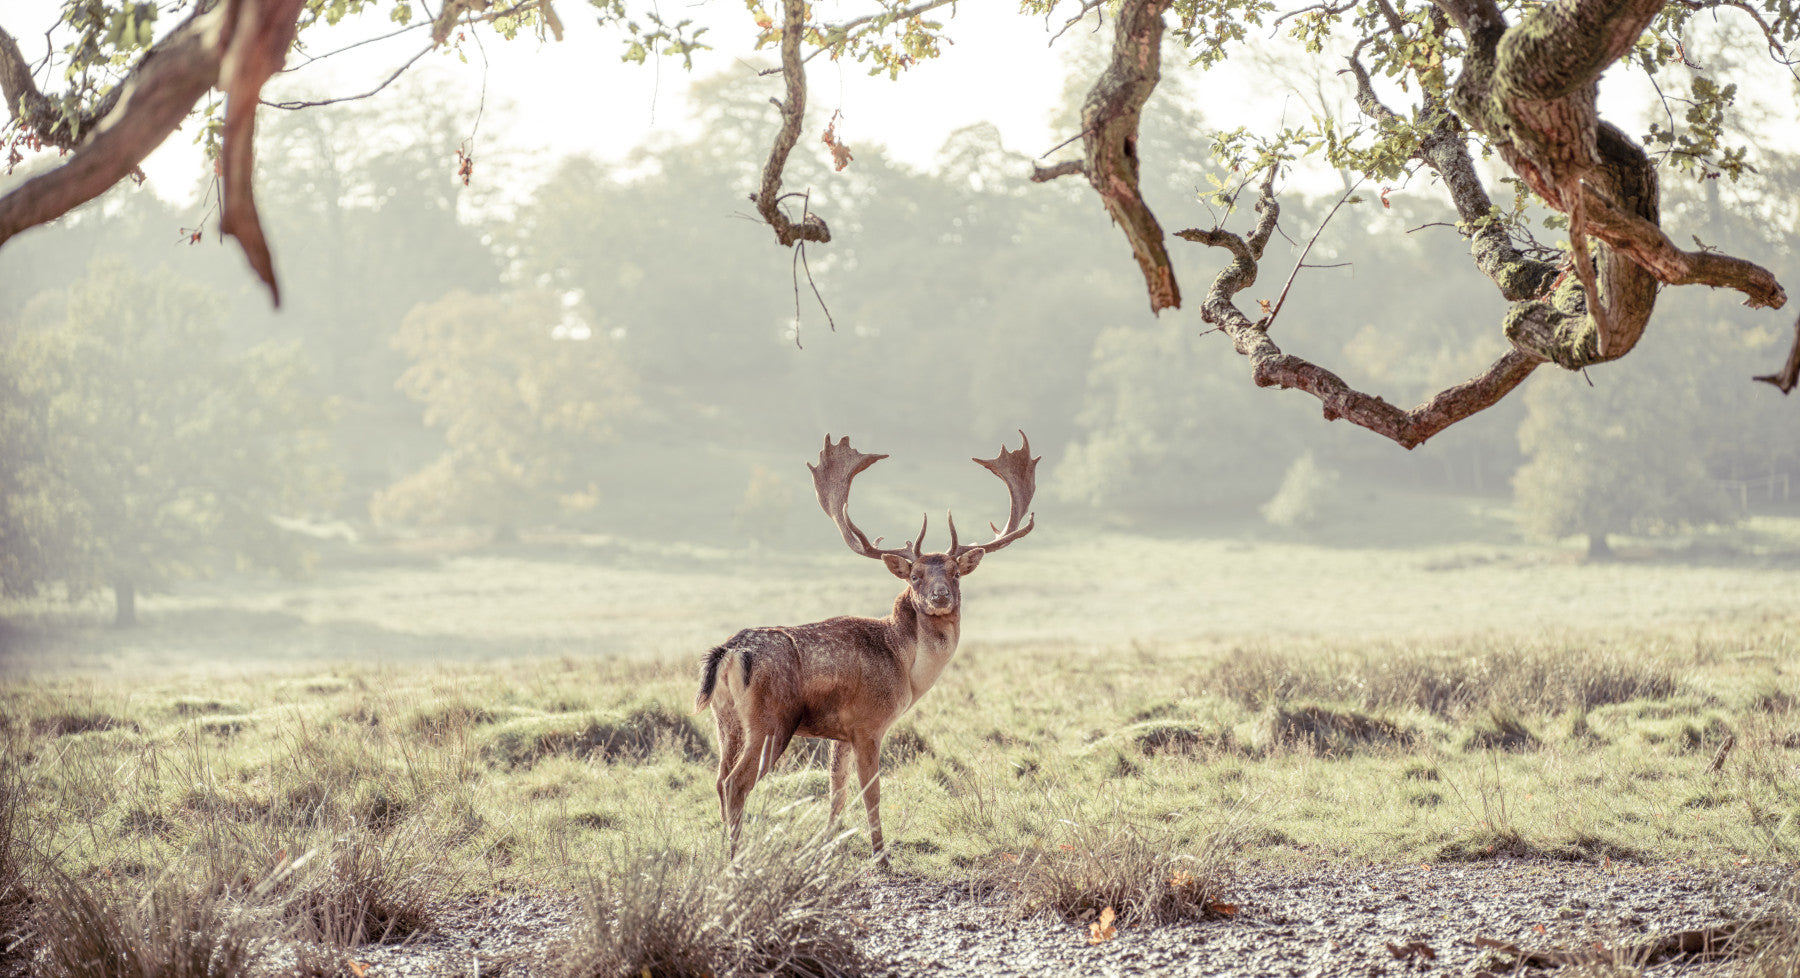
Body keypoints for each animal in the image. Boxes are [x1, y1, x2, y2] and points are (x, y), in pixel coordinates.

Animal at [694, 432, 1038, 867]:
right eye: (915, 575)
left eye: (956, 573)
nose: (940, 596)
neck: (906, 669)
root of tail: (729, 653)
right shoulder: (868, 722)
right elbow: (871, 791)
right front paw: (880, 856)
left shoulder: (840, 732)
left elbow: (836, 791)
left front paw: (825, 847)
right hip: (771, 721)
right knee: (736, 783)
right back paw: (738, 860)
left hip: (725, 719)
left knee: (719, 779)